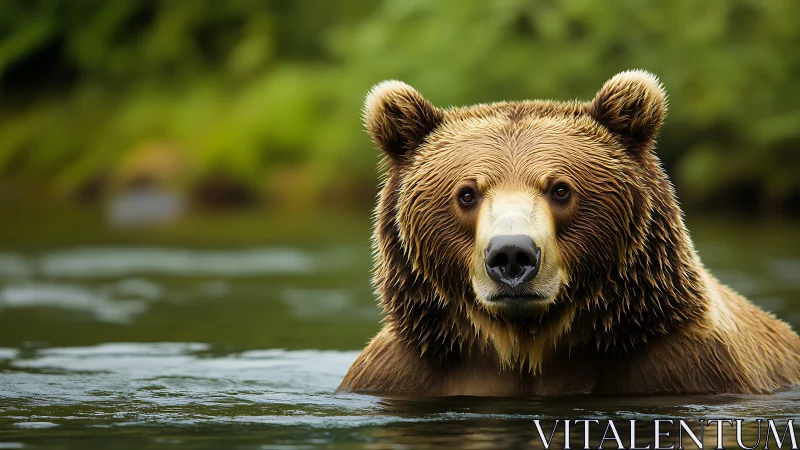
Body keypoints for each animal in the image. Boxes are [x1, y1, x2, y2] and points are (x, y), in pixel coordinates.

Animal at [338, 70, 800, 396]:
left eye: (560, 188)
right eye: (466, 193)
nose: (511, 255)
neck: (529, 345)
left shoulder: (685, 364)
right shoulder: (406, 372)